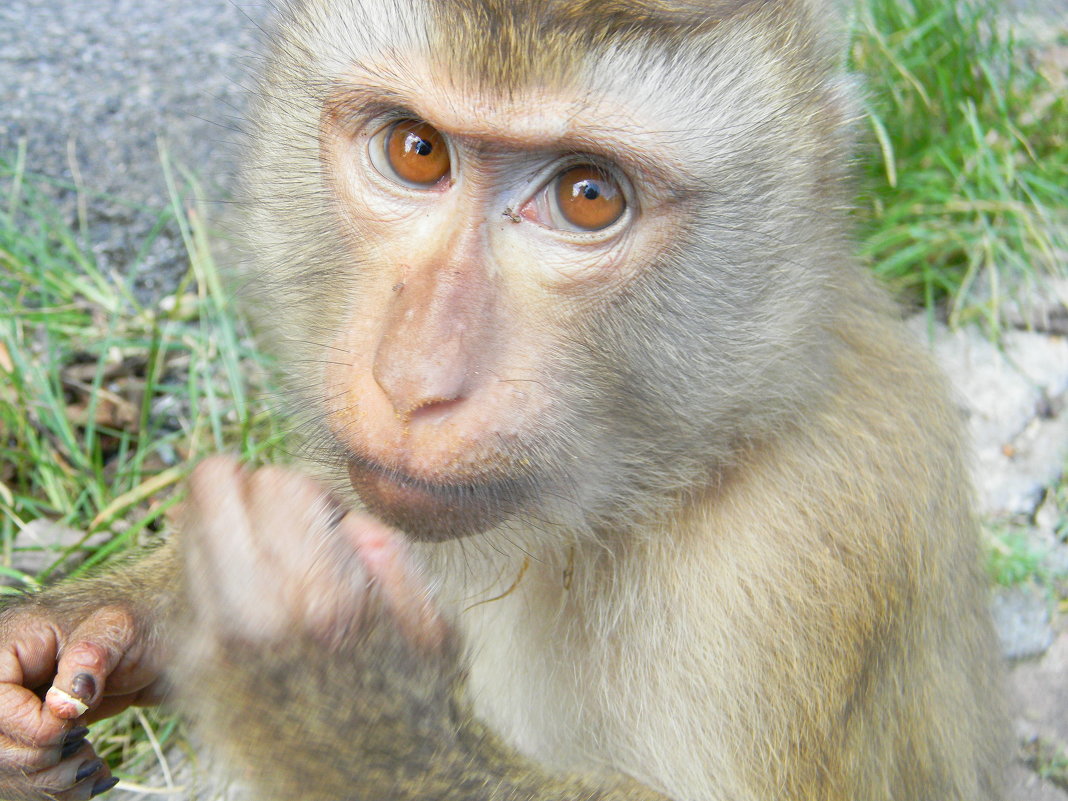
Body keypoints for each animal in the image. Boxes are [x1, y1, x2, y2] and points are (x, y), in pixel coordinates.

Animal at [0, 0, 1008, 798]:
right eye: (415, 150)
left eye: (589, 196)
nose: (412, 382)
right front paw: (89, 625)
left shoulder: (796, 562)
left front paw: (327, 685)